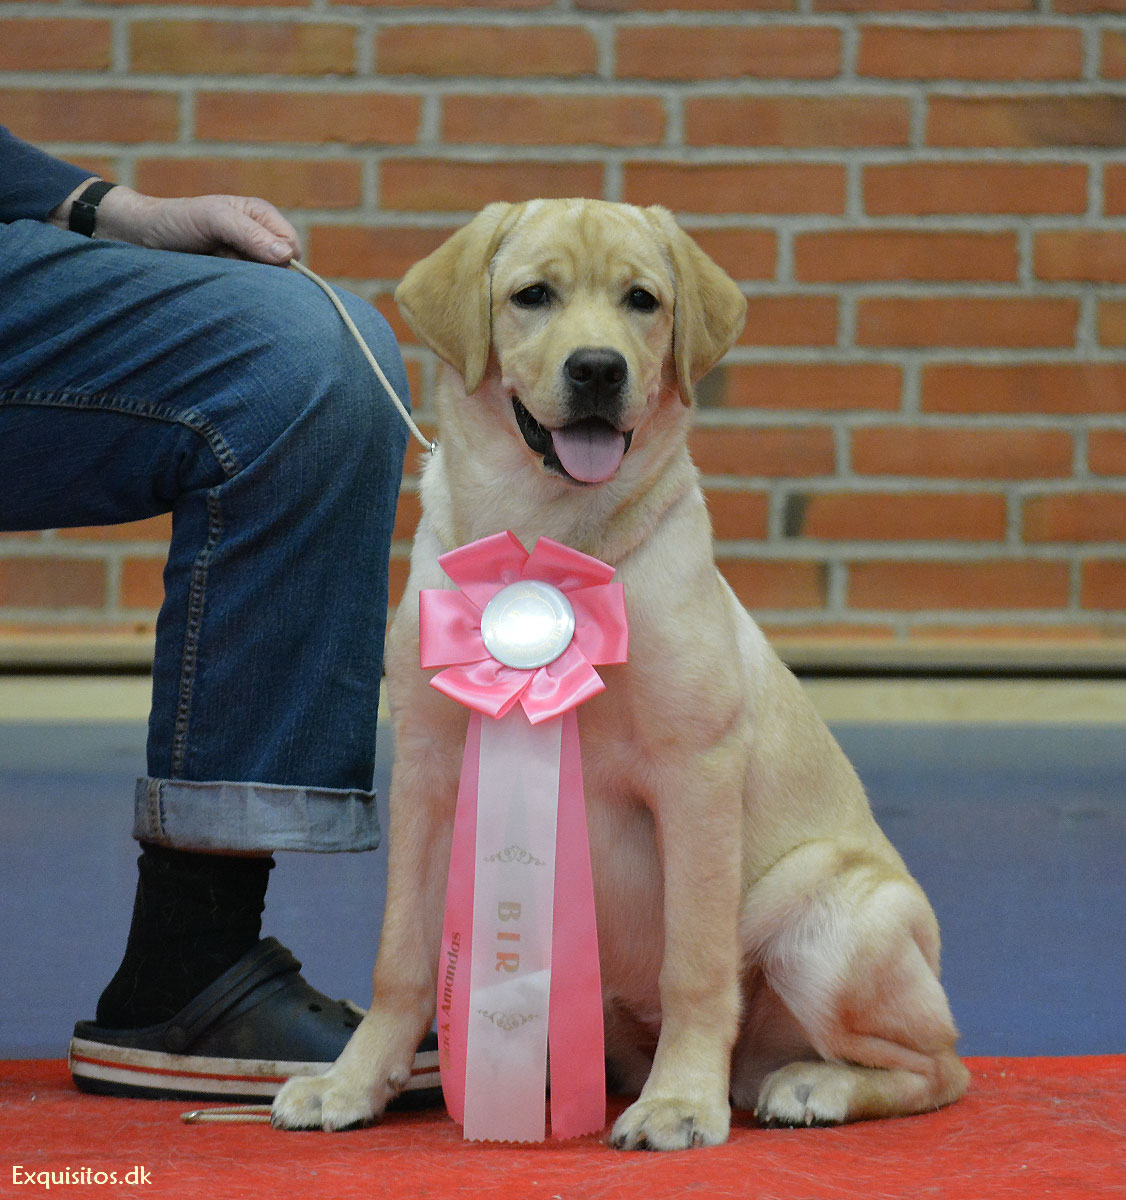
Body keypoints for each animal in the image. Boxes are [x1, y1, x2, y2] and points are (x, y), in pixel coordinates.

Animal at [274, 201, 965, 1147]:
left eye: (644, 301)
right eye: (533, 295)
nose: (598, 368)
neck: (549, 534)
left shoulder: (694, 773)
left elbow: (696, 965)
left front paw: (678, 1103)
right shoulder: (428, 770)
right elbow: (401, 959)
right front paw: (350, 1081)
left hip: (825, 920)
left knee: (939, 1067)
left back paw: (806, 1084)